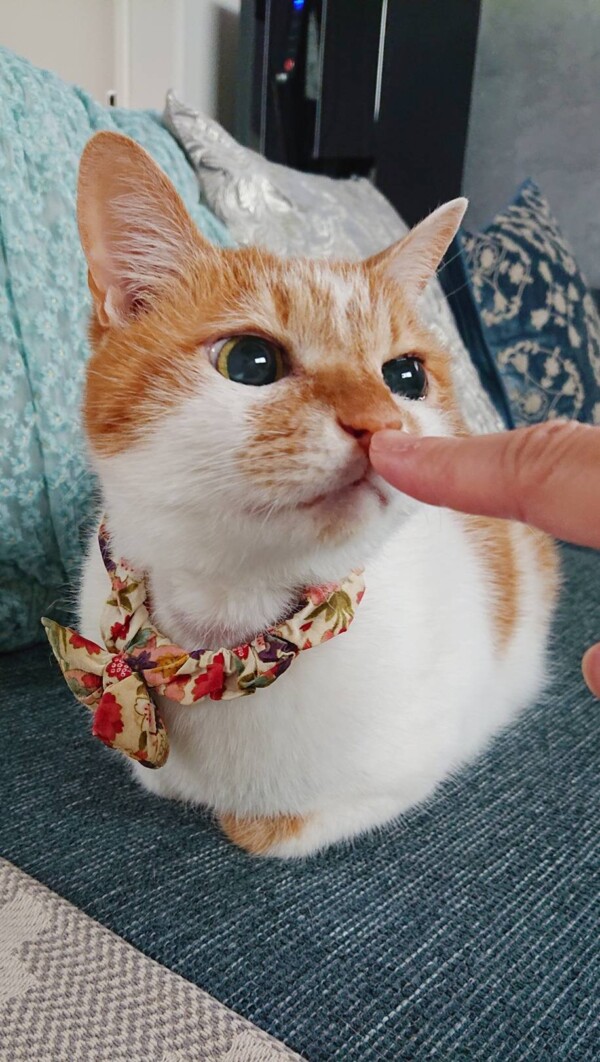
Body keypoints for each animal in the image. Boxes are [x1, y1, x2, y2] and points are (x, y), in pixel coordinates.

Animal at [77, 131, 558, 858]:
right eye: (249, 362)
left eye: (405, 376)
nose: (379, 425)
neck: (228, 633)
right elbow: (155, 779)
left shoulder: (415, 764)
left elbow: (267, 828)